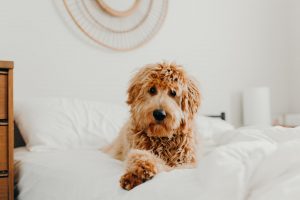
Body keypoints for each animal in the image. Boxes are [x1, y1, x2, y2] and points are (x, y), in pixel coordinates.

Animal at [103, 62, 202, 191]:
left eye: (173, 93)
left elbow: (165, 166)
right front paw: (138, 171)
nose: (159, 114)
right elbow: (139, 155)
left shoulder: (186, 163)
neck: (161, 138)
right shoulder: (137, 148)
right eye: (152, 90)